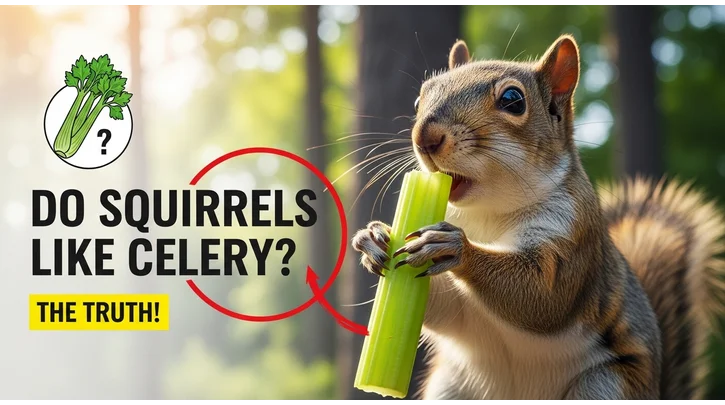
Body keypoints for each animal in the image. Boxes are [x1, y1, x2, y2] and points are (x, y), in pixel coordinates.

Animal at [352, 35, 725, 400]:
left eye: (513, 100)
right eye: (419, 100)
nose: (424, 137)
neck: (486, 215)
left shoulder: (572, 235)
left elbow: (543, 296)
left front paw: (455, 247)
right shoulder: (458, 310)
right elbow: (442, 308)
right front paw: (373, 239)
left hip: (605, 386)